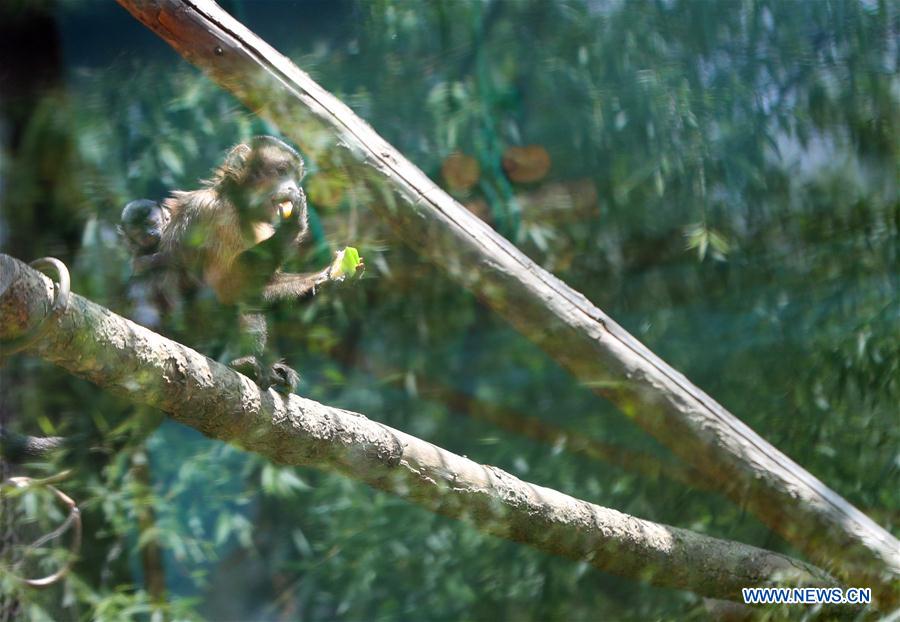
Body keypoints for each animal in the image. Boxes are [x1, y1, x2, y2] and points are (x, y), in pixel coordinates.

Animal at [119, 137, 362, 394]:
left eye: (296, 177)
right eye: (281, 171)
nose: (293, 188)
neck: (240, 207)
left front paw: (326, 280)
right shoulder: (215, 213)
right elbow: (227, 287)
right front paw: (293, 226)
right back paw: (240, 363)